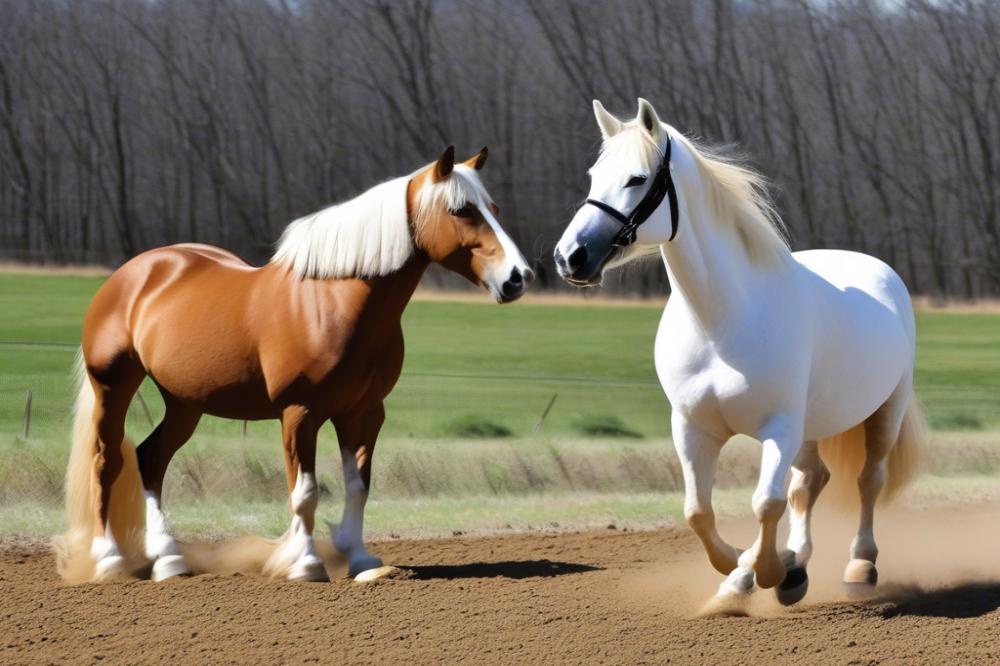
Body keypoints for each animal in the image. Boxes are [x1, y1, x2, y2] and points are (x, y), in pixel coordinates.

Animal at [58, 147, 536, 580]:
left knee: (151, 459)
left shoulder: (363, 413)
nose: (518, 278)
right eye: (460, 209)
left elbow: (358, 486)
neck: (335, 303)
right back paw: (109, 560)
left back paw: (169, 558)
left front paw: (358, 557)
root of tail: (132, 274)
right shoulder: (299, 412)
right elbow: (304, 491)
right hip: (114, 387)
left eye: (493, 208)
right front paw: (305, 563)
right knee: (107, 462)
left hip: (185, 403)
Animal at [556, 98, 920, 608]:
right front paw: (739, 572)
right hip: (810, 428)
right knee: (811, 482)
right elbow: (697, 512)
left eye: (637, 179)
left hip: (886, 410)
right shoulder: (693, 429)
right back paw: (795, 563)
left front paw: (765, 571)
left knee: (868, 481)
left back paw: (858, 566)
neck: (721, 325)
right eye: (594, 175)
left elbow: (765, 502)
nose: (571, 256)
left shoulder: (779, 427)